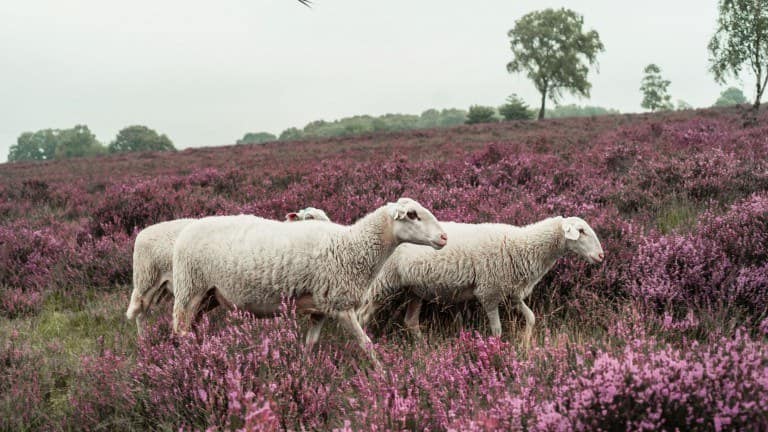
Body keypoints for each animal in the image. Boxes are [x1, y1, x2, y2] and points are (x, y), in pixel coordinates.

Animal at [168, 197, 444, 362]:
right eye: (412, 214)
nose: (444, 237)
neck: (352, 245)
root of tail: (187, 229)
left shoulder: (320, 309)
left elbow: (310, 344)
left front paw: (303, 370)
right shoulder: (341, 306)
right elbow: (366, 344)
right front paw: (382, 374)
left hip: (209, 296)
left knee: (192, 329)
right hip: (190, 289)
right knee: (180, 331)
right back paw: (188, 362)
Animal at [360, 216, 608, 348]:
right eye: (581, 231)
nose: (601, 256)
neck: (522, 245)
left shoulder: (512, 293)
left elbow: (531, 317)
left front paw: (525, 342)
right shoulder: (488, 292)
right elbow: (497, 330)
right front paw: (497, 352)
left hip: (415, 290)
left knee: (410, 321)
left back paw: (424, 348)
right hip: (382, 282)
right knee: (363, 315)